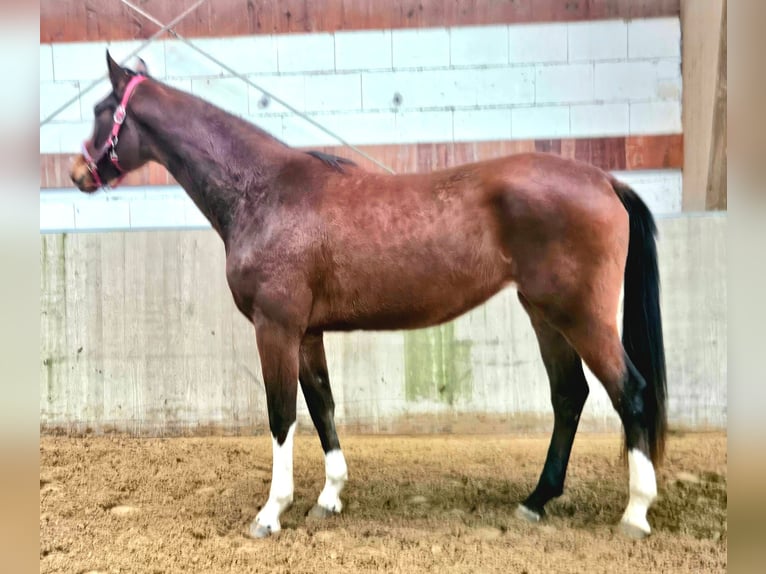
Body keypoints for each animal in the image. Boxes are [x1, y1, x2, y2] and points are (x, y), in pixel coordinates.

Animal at [70, 52, 667, 540]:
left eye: (102, 109)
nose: (78, 172)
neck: (263, 192)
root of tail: (606, 180)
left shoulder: (275, 327)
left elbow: (281, 414)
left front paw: (271, 513)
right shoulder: (306, 332)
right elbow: (323, 406)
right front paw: (329, 498)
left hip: (581, 316)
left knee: (630, 393)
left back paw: (635, 514)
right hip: (545, 313)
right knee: (569, 395)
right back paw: (536, 501)